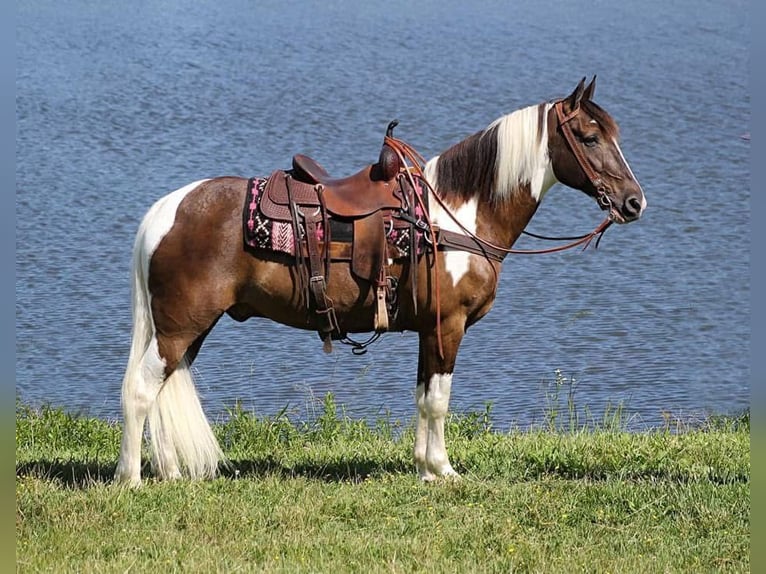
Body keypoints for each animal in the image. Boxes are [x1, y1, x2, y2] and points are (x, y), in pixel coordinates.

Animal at [114, 77, 648, 490]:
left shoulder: (429, 331)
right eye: (590, 137)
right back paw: (132, 478)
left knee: (161, 391)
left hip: (189, 329)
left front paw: (425, 469)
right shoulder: (448, 327)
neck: (457, 215)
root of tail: (166, 210)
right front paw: (444, 470)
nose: (634, 202)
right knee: (140, 390)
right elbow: (438, 400)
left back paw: (169, 473)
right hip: (180, 326)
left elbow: (423, 396)